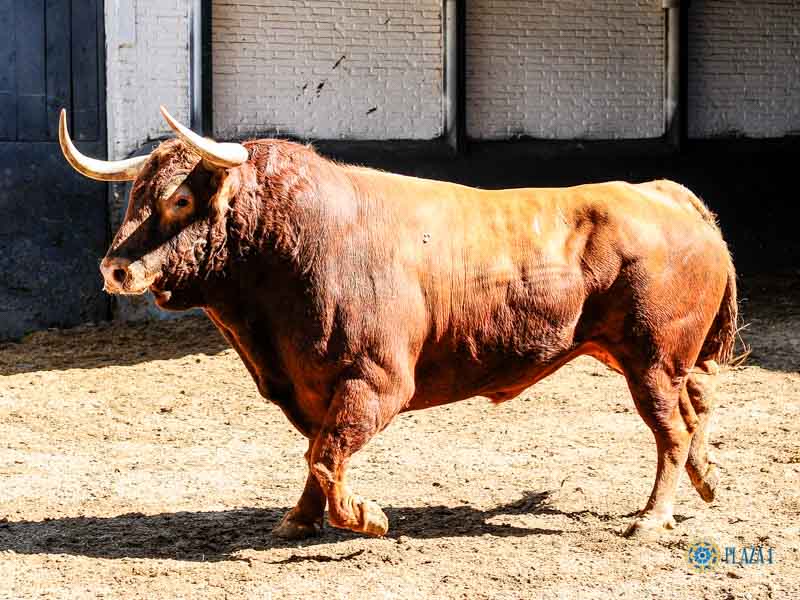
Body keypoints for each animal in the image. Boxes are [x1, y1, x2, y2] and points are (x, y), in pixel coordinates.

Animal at [59, 107, 737, 540]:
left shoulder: (376, 381)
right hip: (643, 356)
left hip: (651, 358)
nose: (115, 268)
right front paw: (298, 520)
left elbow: (328, 456)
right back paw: (706, 482)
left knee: (672, 427)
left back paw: (651, 519)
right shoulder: (310, 388)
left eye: (178, 198)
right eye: (133, 194)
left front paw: (369, 517)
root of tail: (667, 195)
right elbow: (316, 452)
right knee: (696, 405)